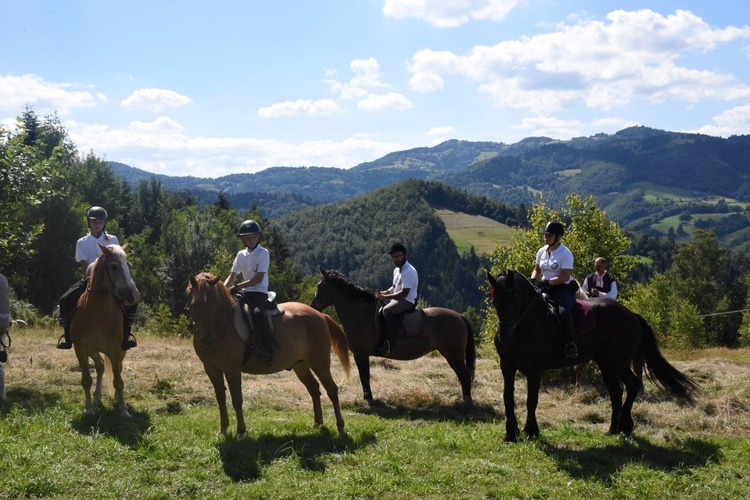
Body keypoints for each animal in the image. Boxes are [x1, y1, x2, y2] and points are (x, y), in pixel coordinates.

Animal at [70, 244, 140, 416]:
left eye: (128, 266)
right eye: (114, 266)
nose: (134, 295)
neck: (97, 311)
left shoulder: (116, 350)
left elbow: (118, 380)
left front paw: (123, 409)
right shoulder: (81, 350)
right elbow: (86, 380)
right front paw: (89, 408)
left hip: (119, 351)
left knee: (117, 370)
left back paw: (117, 400)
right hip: (94, 351)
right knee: (101, 366)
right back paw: (97, 398)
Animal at [188, 272, 352, 436]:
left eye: (216, 304)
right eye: (194, 304)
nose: (207, 339)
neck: (223, 325)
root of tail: (321, 315)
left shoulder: (232, 369)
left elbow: (236, 399)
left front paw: (241, 430)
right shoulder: (211, 368)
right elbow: (220, 398)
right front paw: (223, 429)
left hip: (319, 363)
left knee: (332, 389)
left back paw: (341, 427)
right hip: (301, 364)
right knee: (313, 388)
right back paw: (318, 423)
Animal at [312, 270, 476, 402]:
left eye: (320, 286)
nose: (312, 306)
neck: (361, 313)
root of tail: (459, 316)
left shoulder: (361, 353)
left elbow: (364, 376)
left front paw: (368, 398)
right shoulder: (362, 354)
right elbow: (365, 375)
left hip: (453, 354)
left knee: (464, 375)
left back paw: (466, 401)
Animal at [488, 270, 700, 442]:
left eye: (514, 300)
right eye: (495, 300)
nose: (505, 337)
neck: (525, 325)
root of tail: (631, 314)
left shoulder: (534, 370)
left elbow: (531, 400)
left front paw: (531, 431)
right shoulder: (507, 367)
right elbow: (508, 397)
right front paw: (510, 433)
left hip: (619, 362)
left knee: (633, 385)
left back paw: (625, 425)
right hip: (606, 363)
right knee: (616, 391)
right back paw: (613, 428)